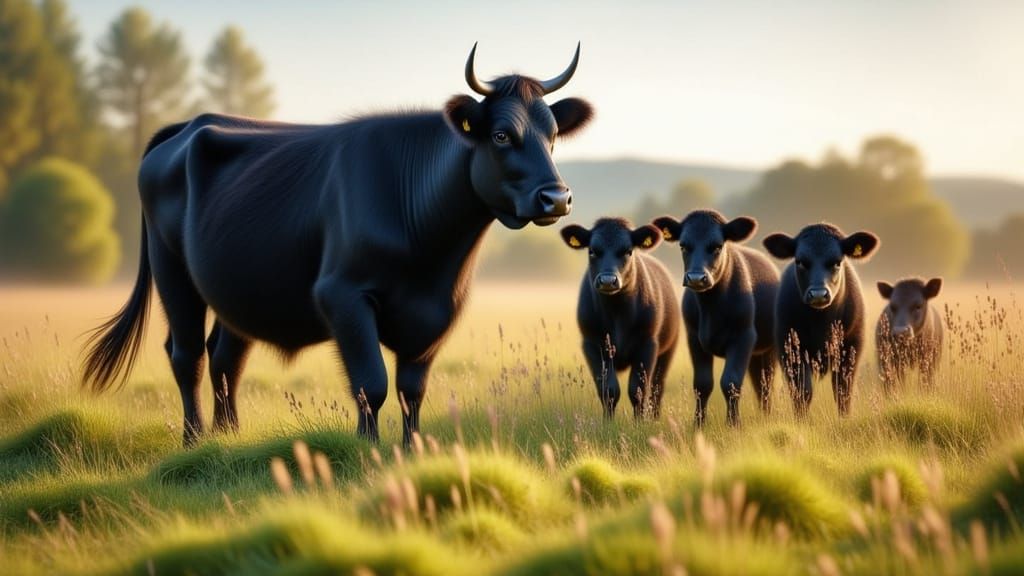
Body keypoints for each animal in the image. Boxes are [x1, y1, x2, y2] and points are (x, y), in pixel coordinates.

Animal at [82, 44, 595, 447]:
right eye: (502, 135)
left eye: (552, 136)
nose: (556, 197)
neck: (432, 256)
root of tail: (187, 125)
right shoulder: (342, 295)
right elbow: (372, 384)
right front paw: (368, 452)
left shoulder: (438, 310)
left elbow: (412, 389)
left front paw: (412, 451)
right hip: (172, 269)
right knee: (186, 353)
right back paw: (193, 441)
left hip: (237, 285)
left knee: (225, 357)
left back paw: (227, 438)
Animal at [560, 218, 679, 419]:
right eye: (592, 251)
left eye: (628, 251)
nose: (608, 281)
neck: (617, 313)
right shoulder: (592, 345)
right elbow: (608, 390)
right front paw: (607, 423)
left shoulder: (647, 344)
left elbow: (638, 390)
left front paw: (640, 423)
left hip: (668, 349)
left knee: (657, 388)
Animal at [653, 210, 779, 427]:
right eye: (683, 245)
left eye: (717, 246)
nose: (696, 278)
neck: (711, 308)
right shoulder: (694, 338)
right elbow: (702, 383)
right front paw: (698, 423)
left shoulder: (743, 336)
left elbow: (731, 381)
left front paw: (733, 423)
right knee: (759, 380)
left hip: (769, 347)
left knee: (766, 383)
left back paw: (767, 416)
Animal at [762, 224, 879, 416]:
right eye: (800, 261)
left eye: (837, 262)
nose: (818, 294)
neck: (821, 325)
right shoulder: (790, 350)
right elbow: (802, 392)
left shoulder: (852, 346)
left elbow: (843, 391)